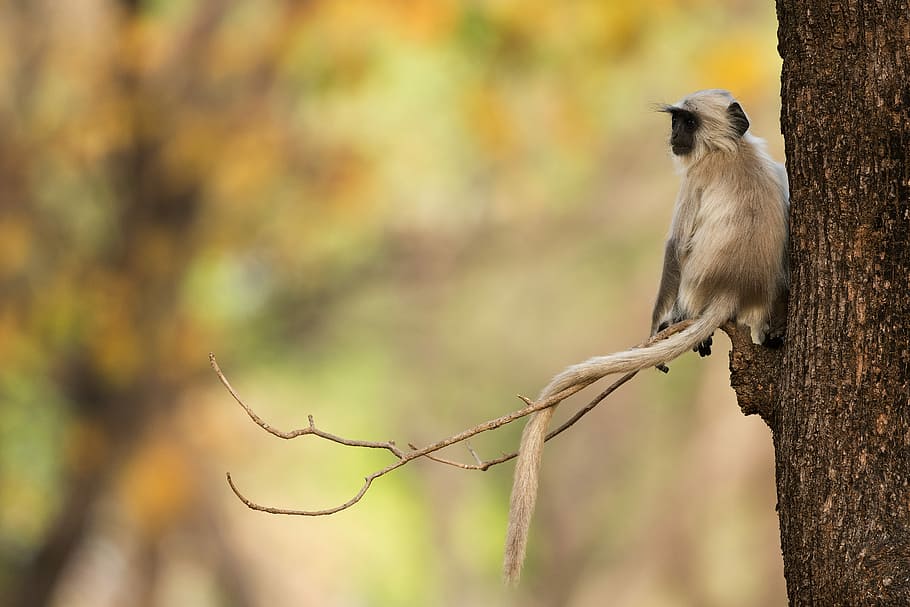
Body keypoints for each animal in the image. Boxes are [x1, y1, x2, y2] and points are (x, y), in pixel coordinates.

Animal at [502, 89, 789, 585]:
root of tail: (731, 290)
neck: (731, 150)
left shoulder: (695, 180)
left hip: (694, 284)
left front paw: (657, 325)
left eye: (686, 122)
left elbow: (674, 248)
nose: (672, 136)